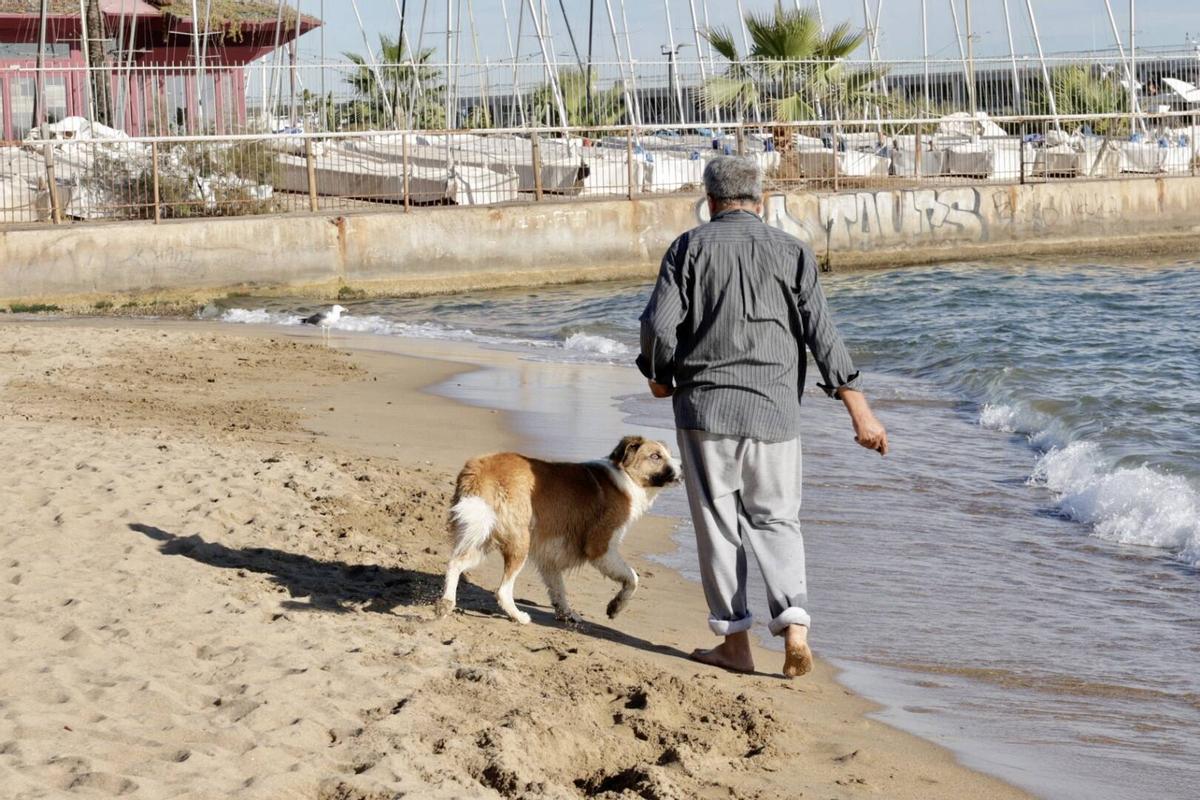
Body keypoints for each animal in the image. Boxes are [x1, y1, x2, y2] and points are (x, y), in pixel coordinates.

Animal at [434, 438, 681, 623]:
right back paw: (519, 617)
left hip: (483, 536)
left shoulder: (549, 558)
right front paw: (616, 606)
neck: (625, 476)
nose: (681, 469)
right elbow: (633, 578)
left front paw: (567, 614)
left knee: (455, 564)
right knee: (502, 591)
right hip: (518, 541)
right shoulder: (601, 548)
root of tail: (479, 469)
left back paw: (446, 604)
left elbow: (559, 589)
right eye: (656, 456)